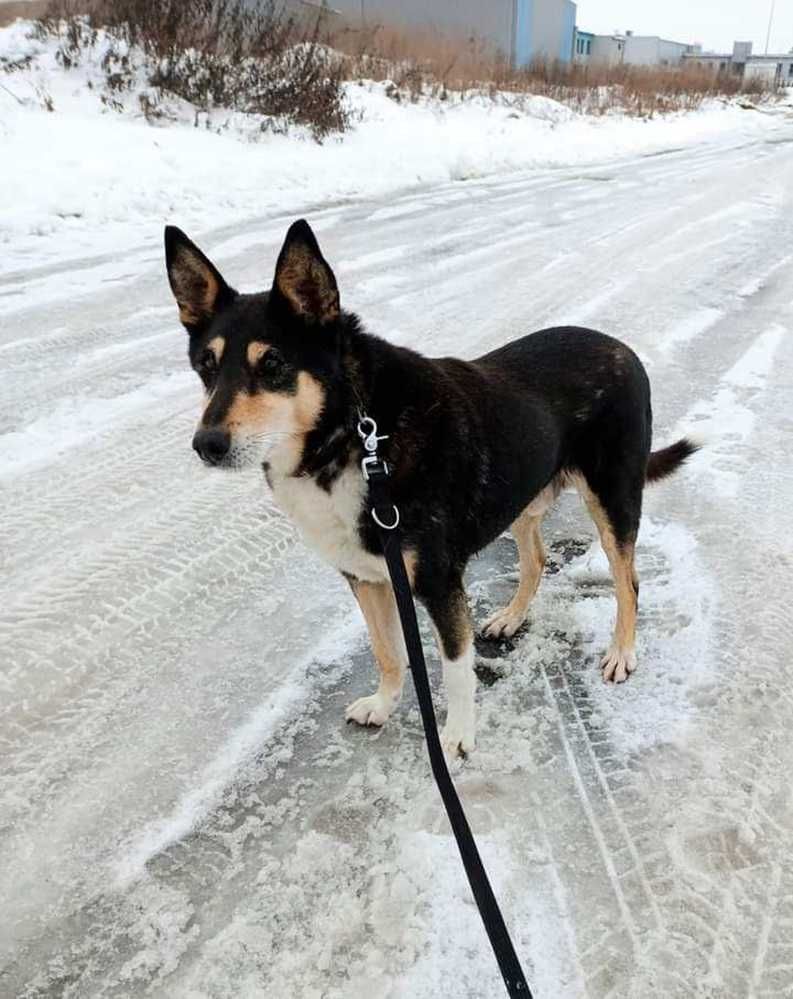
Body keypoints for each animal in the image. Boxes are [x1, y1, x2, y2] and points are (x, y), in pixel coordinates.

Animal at [164, 221, 696, 756]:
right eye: (206, 366)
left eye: (272, 363)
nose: (206, 444)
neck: (354, 436)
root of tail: (619, 346)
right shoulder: (365, 577)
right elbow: (386, 650)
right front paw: (384, 704)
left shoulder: (439, 583)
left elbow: (455, 669)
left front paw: (457, 737)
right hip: (522, 498)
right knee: (536, 560)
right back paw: (511, 616)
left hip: (612, 499)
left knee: (628, 581)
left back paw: (621, 652)